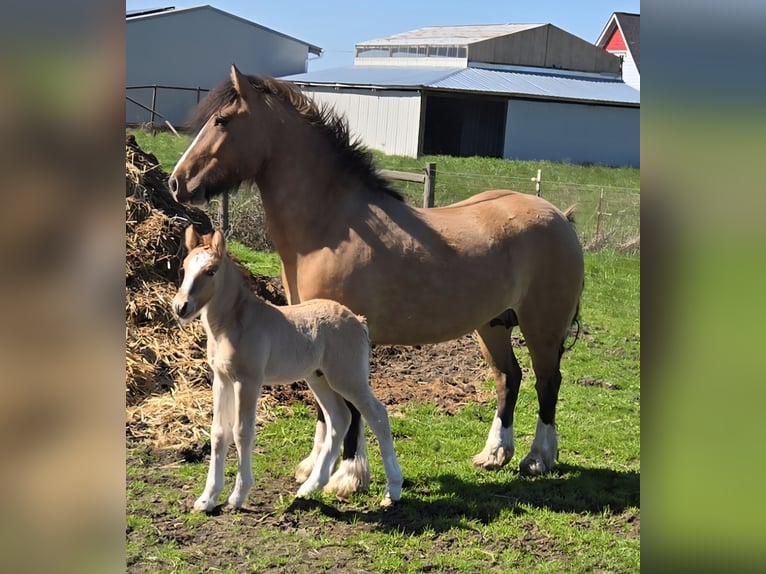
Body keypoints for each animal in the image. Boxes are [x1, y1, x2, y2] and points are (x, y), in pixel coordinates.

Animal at [172, 224, 403, 511]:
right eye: (184, 268)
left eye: (211, 271)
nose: (181, 307)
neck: (235, 323)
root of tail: (359, 321)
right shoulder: (222, 379)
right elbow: (218, 433)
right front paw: (207, 499)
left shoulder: (248, 381)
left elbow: (242, 432)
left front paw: (237, 496)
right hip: (319, 379)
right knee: (340, 419)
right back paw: (310, 487)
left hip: (348, 379)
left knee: (378, 416)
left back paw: (392, 490)